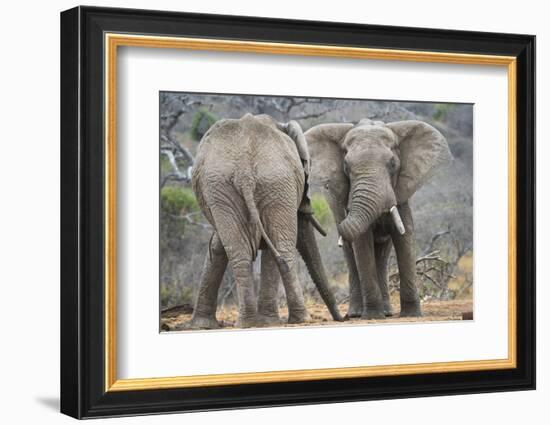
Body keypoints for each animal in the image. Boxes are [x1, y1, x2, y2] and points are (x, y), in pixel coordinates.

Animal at [191, 113, 344, 328]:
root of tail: (244, 171)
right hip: (267, 183)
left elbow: (218, 245)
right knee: (280, 248)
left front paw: (202, 325)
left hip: (236, 188)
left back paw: (250, 322)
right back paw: (295, 320)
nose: (342, 318)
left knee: (243, 253)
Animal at [306, 118, 452, 318]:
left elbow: (405, 237)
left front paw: (412, 315)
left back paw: (388, 312)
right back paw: (357, 314)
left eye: (392, 164)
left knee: (382, 255)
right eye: (346, 166)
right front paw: (373, 316)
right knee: (351, 256)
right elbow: (362, 244)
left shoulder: (401, 195)